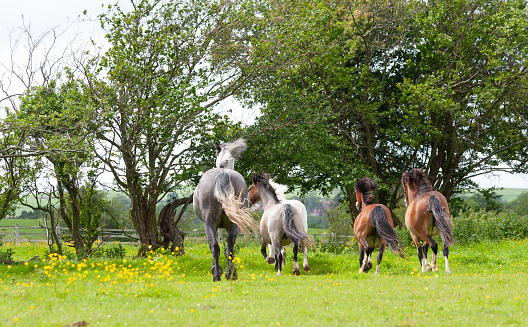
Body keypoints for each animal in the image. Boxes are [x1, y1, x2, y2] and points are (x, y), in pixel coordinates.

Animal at [194, 138, 260, 282]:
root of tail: (223, 174)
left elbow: (214, 245)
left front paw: (215, 269)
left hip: (209, 223)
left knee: (215, 246)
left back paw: (217, 276)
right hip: (235, 223)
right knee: (230, 244)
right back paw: (230, 273)